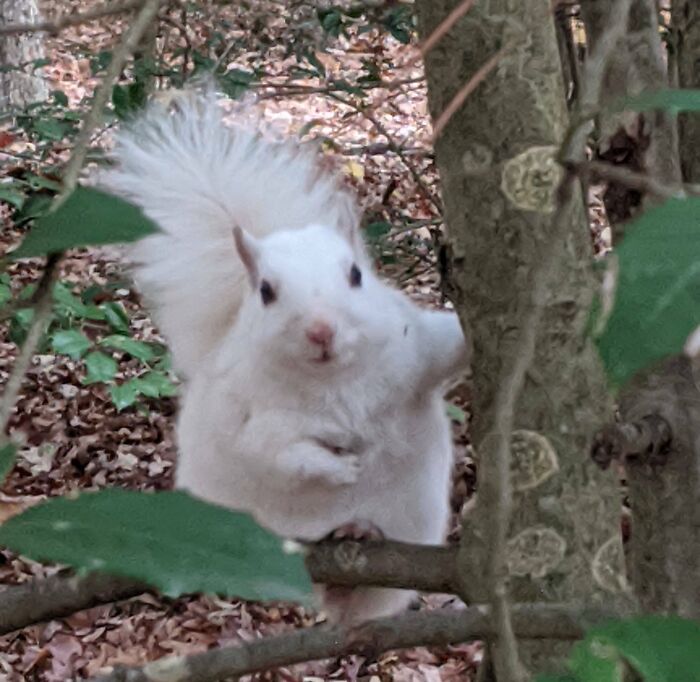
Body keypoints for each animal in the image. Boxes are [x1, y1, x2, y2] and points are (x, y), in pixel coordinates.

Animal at [104, 90, 468, 620]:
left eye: (356, 275)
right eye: (267, 292)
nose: (321, 331)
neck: (332, 381)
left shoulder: (415, 351)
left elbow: (446, 349)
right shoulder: (250, 418)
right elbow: (279, 454)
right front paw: (340, 467)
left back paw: (361, 529)